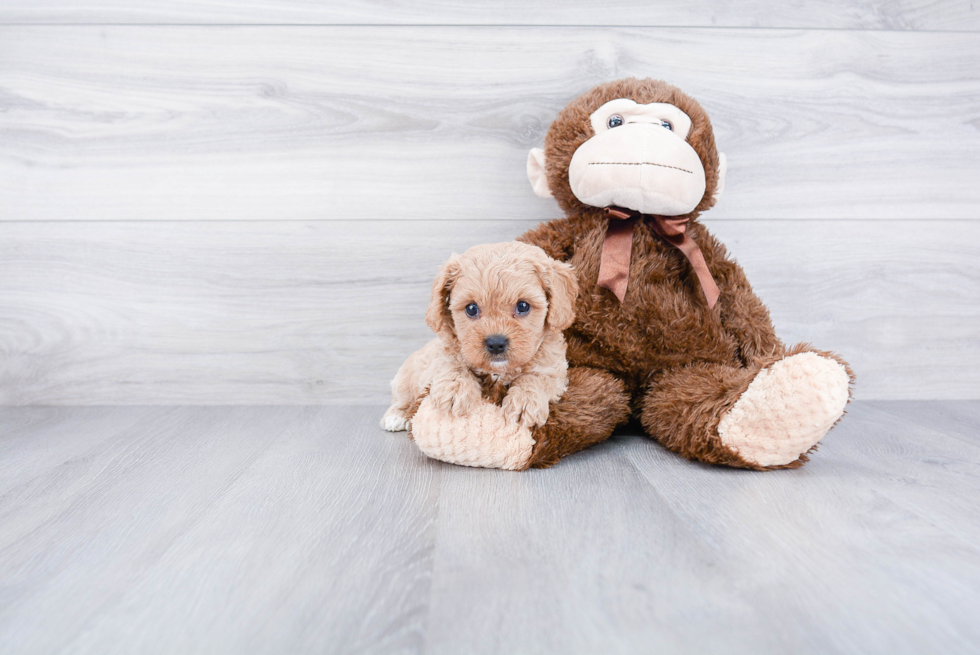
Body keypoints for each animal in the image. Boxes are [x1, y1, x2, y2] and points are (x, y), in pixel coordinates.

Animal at [380, 243, 580, 434]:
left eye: (523, 306)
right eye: (471, 308)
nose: (496, 343)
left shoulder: (555, 370)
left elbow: (538, 378)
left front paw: (525, 400)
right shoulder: (440, 356)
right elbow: (451, 363)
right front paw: (456, 389)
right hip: (405, 380)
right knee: (401, 399)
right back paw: (396, 417)